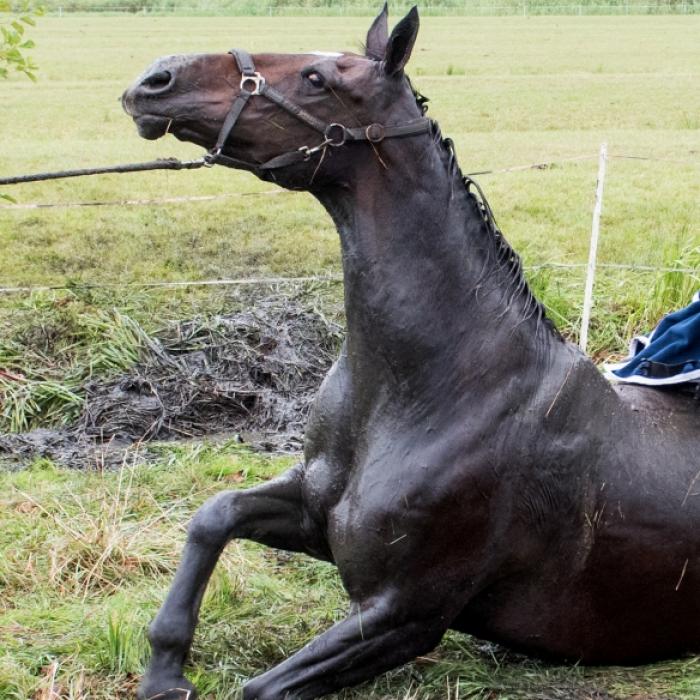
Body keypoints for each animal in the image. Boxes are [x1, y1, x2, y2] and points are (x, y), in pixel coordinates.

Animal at [122, 5, 700, 699]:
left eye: (317, 78)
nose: (155, 79)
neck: (429, 387)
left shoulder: (405, 612)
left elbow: (259, 688)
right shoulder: (314, 515)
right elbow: (215, 514)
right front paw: (165, 671)